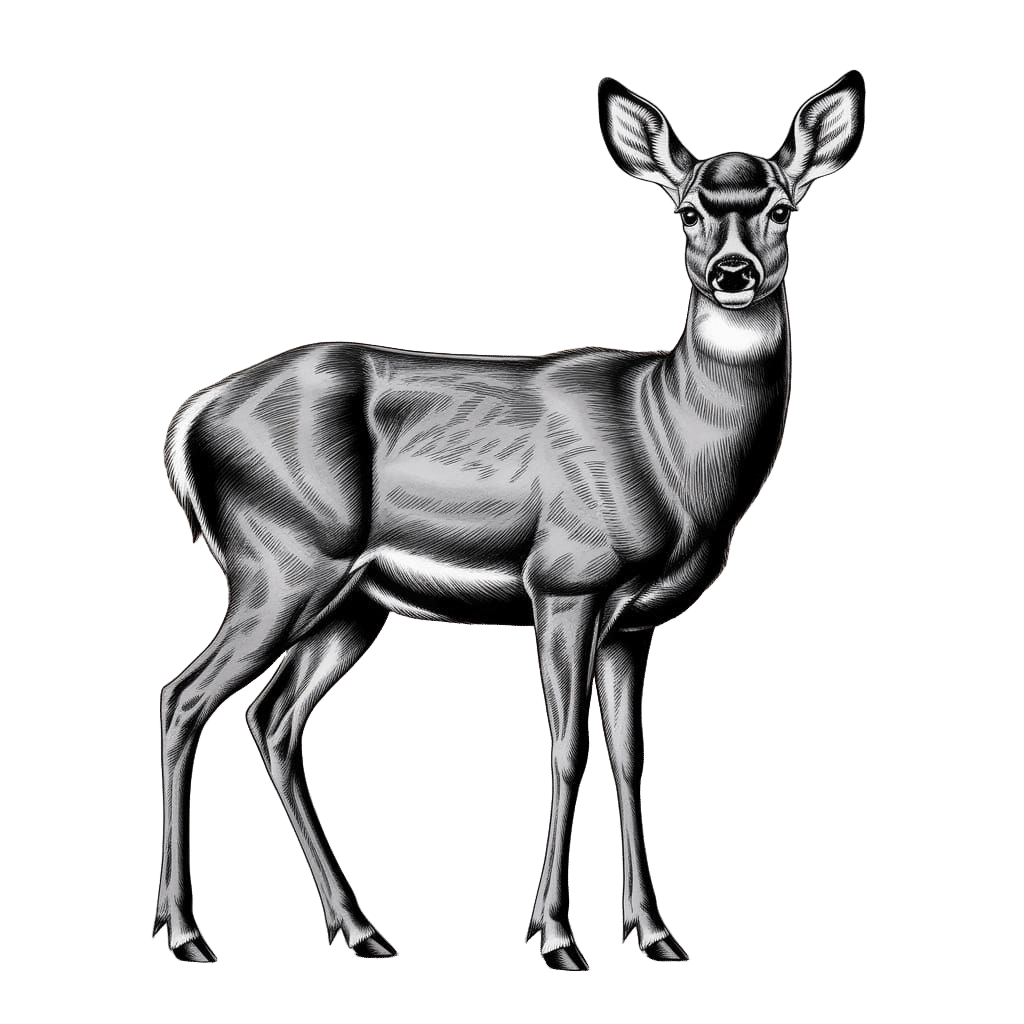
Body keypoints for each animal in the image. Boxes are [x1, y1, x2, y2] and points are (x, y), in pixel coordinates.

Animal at [152, 70, 865, 971]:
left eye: (781, 207)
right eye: (687, 210)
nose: (732, 273)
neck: (666, 441)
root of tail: (193, 418)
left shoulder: (636, 621)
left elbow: (632, 757)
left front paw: (654, 930)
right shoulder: (565, 580)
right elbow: (569, 750)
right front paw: (556, 935)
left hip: (350, 602)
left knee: (272, 719)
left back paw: (358, 928)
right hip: (280, 564)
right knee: (184, 698)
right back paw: (186, 930)